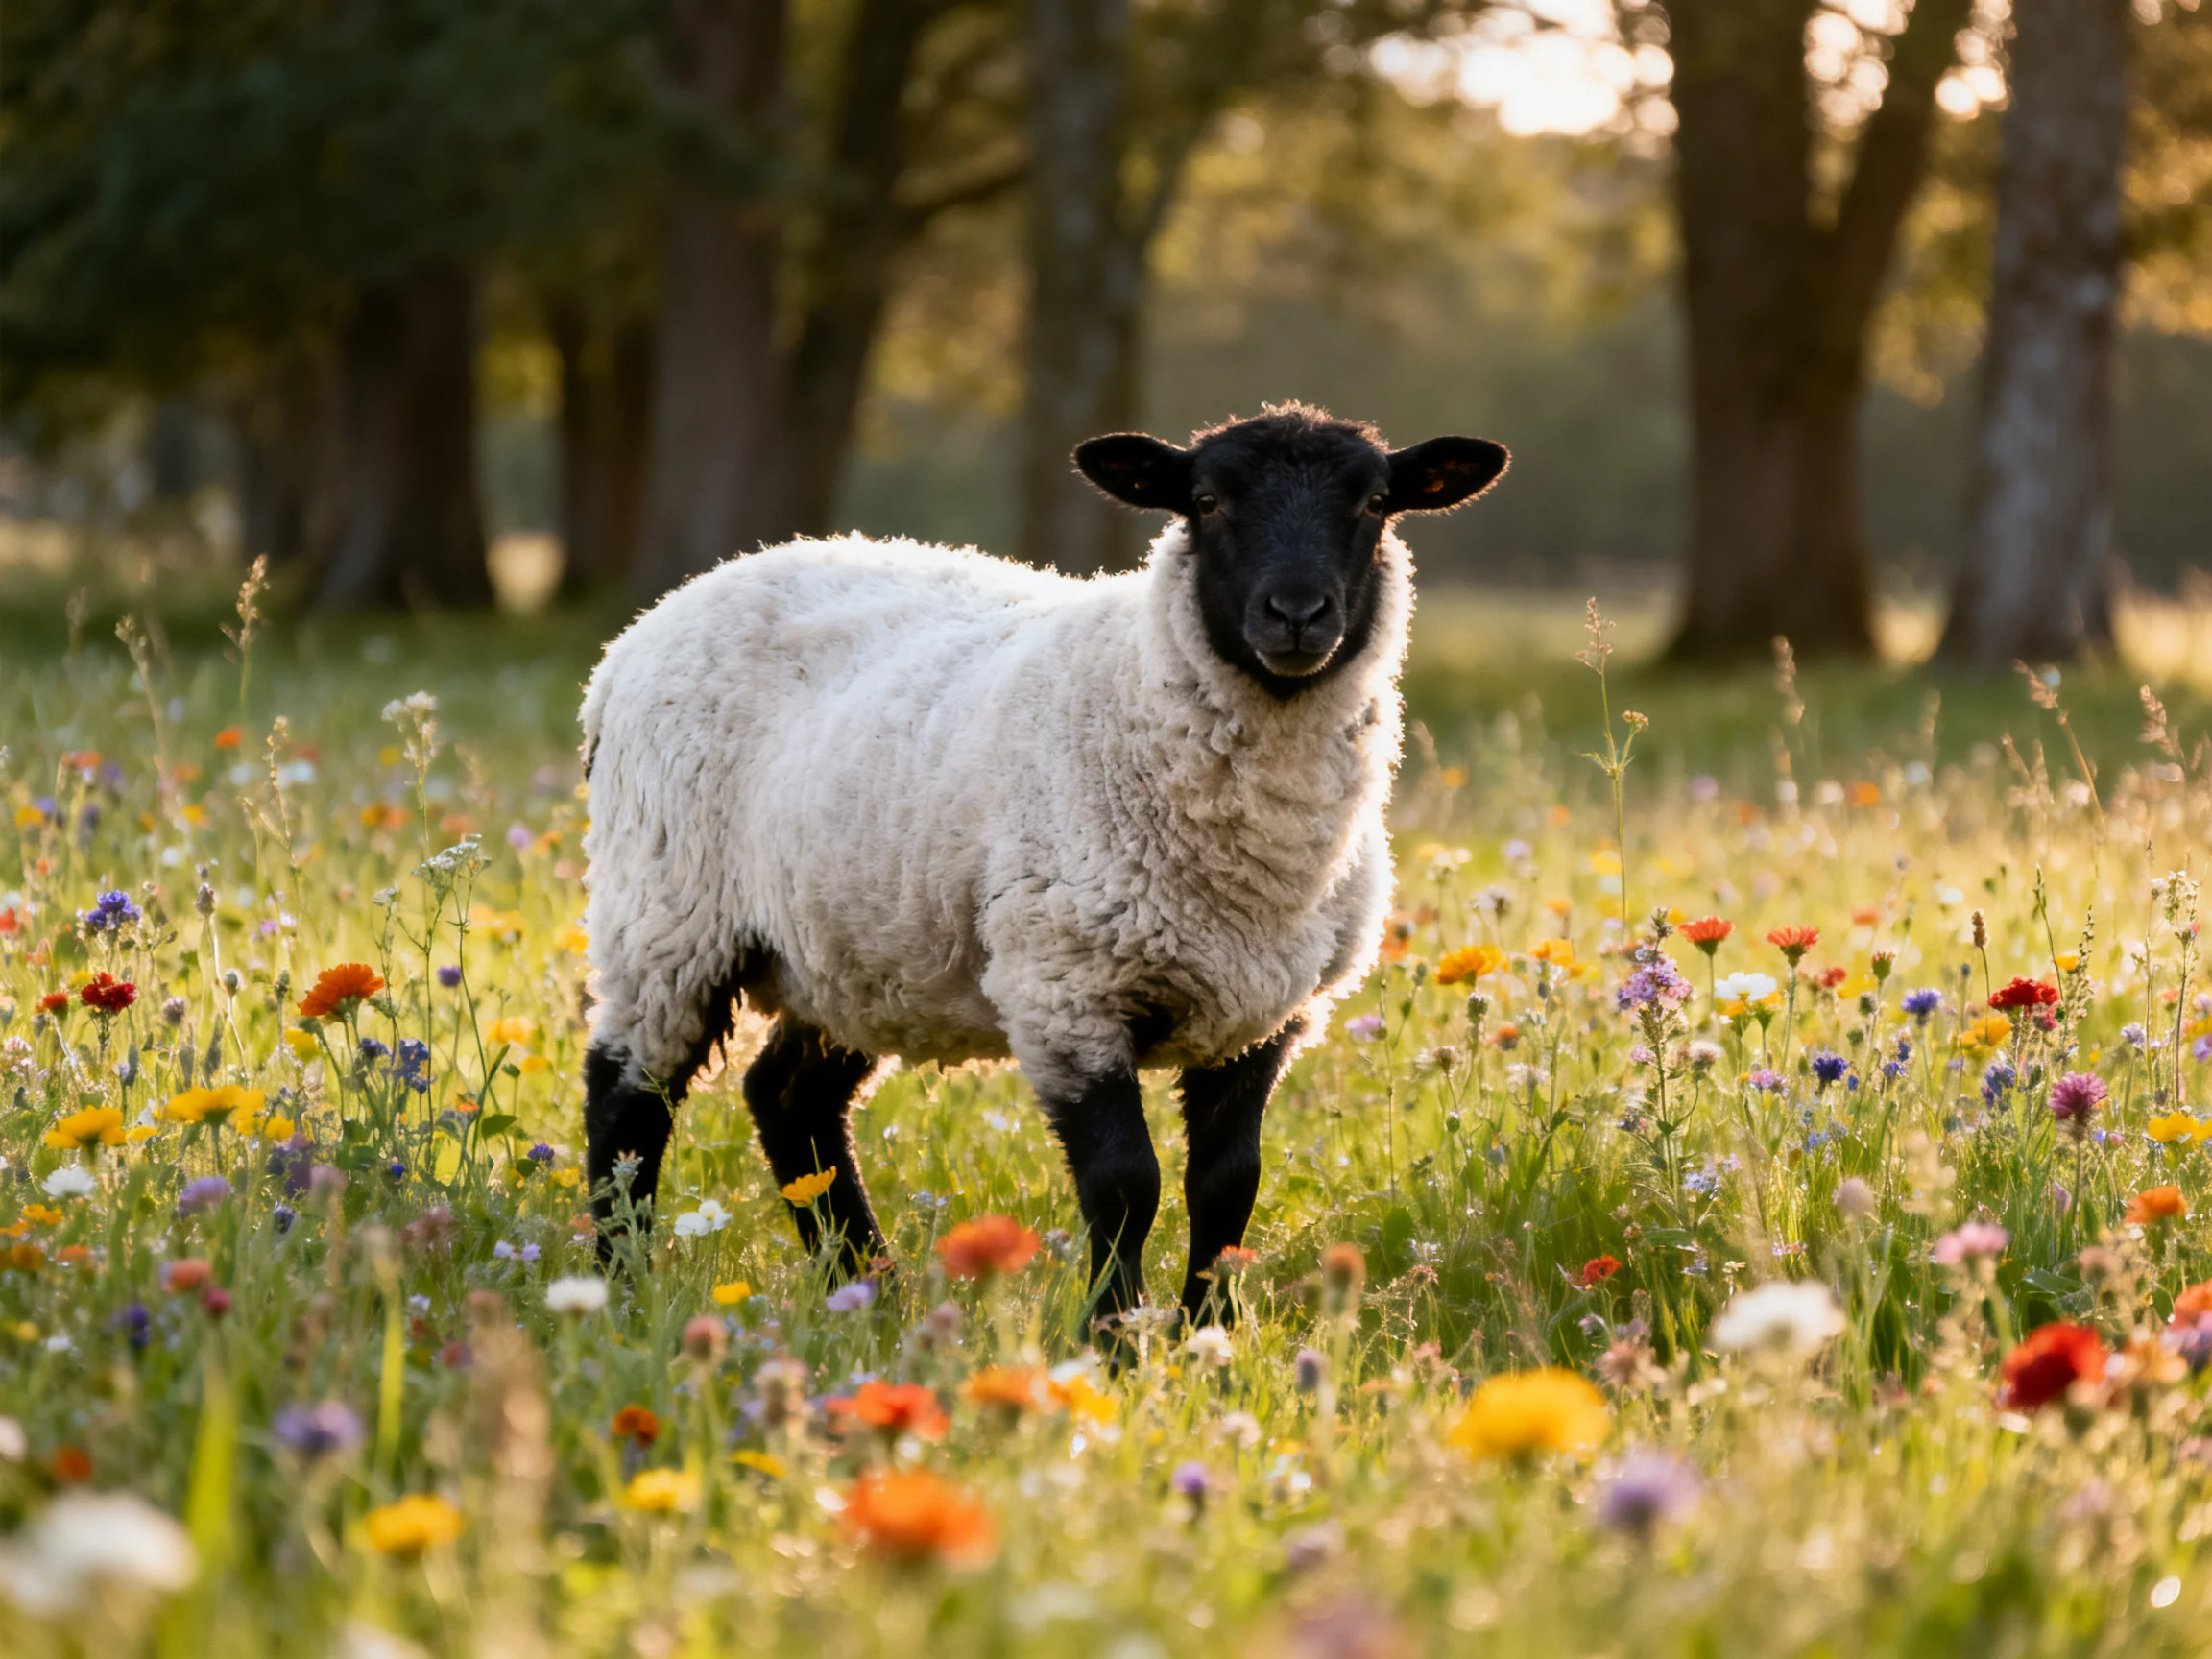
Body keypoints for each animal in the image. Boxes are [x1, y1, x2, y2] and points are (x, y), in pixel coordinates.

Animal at [577, 403, 1508, 1322]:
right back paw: (621, 1291)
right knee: (625, 1099)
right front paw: (1114, 1337)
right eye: (1206, 502)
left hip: (855, 945)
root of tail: (647, 627)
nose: (1298, 614)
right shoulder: (1068, 989)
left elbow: (1227, 1185)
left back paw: (869, 1291)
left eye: (1375, 502)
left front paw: (1209, 1334)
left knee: (789, 1100)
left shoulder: (1264, 1016)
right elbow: (1126, 1185)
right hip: (668, 909)